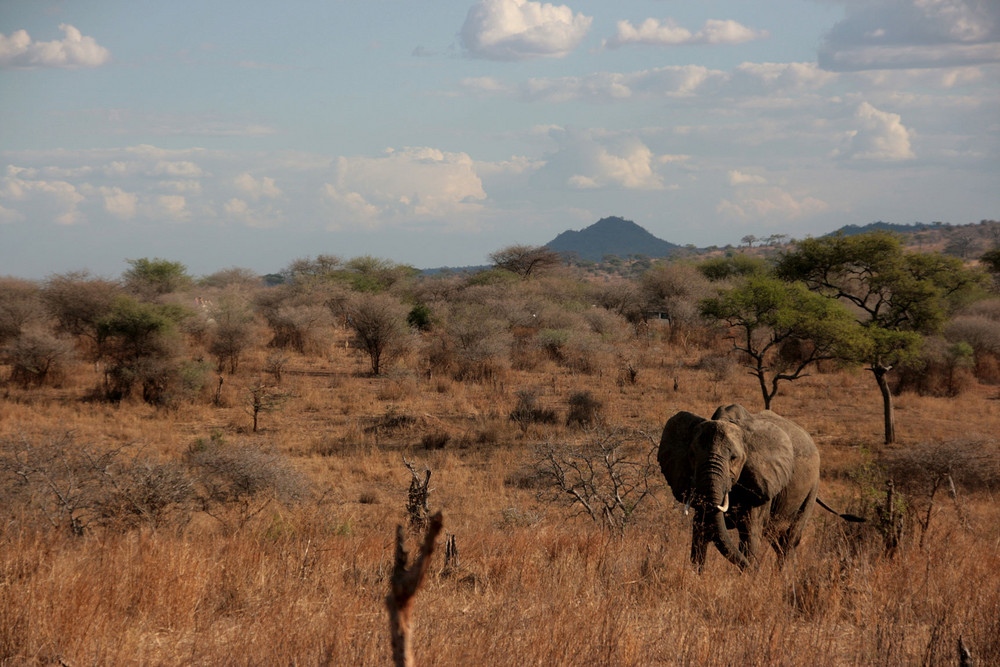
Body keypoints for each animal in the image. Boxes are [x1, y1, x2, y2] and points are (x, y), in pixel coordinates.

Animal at [656, 404, 820, 572]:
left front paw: (748, 573)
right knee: (778, 541)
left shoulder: (760, 484)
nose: (758, 568)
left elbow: (750, 536)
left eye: (733, 458)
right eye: (692, 455)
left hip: (812, 488)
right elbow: (700, 531)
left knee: (790, 539)